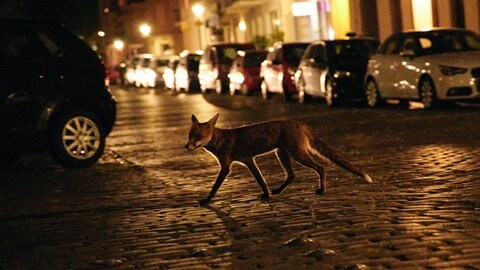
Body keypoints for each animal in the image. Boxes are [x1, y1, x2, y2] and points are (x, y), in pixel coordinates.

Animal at [186, 113, 374, 205]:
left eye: (198, 136)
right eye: (189, 136)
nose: (186, 147)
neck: (219, 140)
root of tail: (301, 123)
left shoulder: (226, 167)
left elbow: (215, 187)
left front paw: (207, 200)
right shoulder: (248, 160)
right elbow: (261, 180)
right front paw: (267, 194)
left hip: (297, 155)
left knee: (320, 168)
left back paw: (322, 190)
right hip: (282, 154)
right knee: (291, 175)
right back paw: (277, 191)